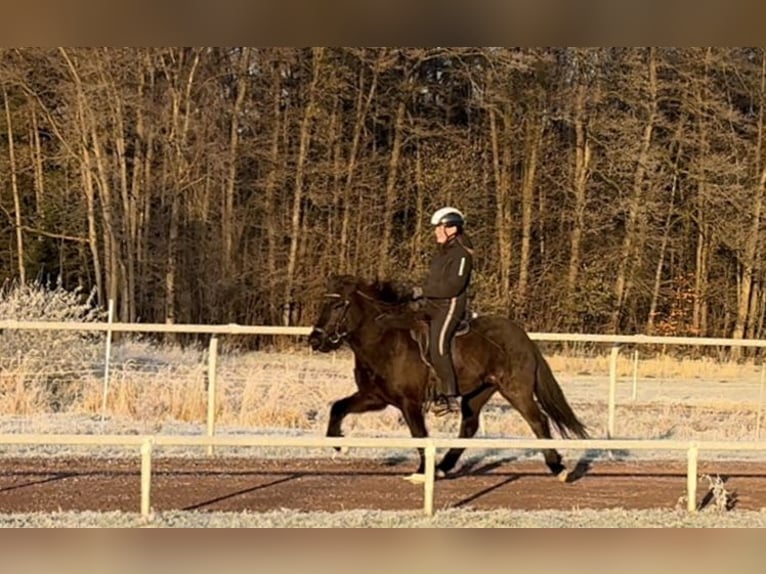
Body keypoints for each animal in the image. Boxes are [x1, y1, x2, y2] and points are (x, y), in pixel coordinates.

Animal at [308, 274, 588, 482]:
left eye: (337, 305)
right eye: (323, 304)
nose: (314, 340)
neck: (384, 340)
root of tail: (523, 337)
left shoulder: (409, 403)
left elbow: (419, 435)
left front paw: (422, 472)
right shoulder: (374, 397)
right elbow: (338, 408)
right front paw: (340, 446)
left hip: (516, 390)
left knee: (538, 421)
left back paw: (558, 468)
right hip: (478, 393)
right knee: (469, 427)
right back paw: (444, 466)